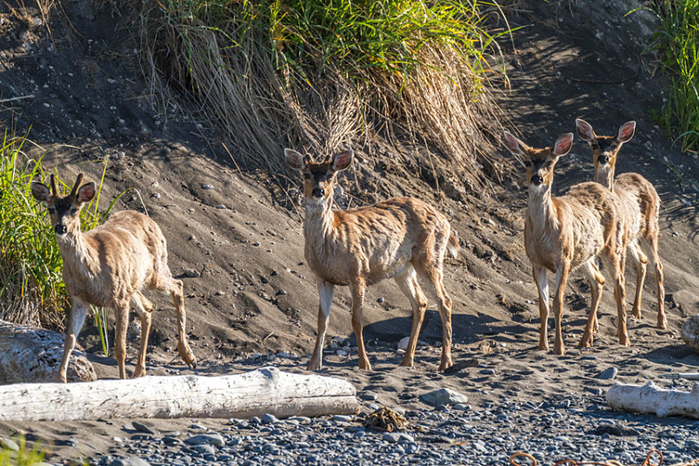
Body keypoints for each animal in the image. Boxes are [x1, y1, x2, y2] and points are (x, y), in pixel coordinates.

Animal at [30, 173, 197, 380]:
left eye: (74, 209)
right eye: (51, 208)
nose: (61, 227)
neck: (91, 270)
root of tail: (148, 219)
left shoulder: (120, 298)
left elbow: (120, 348)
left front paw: (122, 379)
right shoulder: (79, 298)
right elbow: (69, 340)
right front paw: (60, 379)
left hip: (154, 270)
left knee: (178, 285)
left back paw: (188, 356)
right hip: (132, 283)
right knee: (147, 308)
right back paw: (139, 371)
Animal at [284, 148, 460, 372]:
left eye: (330, 176)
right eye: (306, 174)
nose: (318, 191)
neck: (330, 239)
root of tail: (445, 220)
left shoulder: (357, 270)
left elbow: (356, 320)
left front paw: (364, 364)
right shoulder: (322, 277)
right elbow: (322, 321)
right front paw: (313, 365)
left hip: (430, 257)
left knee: (445, 301)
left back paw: (445, 362)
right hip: (403, 268)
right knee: (421, 302)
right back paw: (407, 361)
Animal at [506, 132, 632, 356]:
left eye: (549, 162)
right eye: (527, 162)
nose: (537, 178)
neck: (543, 235)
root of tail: (607, 190)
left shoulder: (563, 258)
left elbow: (558, 302)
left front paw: (559, 347)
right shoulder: (535, 262)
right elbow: (543, 306)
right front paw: (542, 346)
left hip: (611, 245)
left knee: (620, 283)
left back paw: (623, 339)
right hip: (584, 255)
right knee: (599, 281)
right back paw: (585, 340)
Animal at [576, 120, 668, 332]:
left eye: (614, 145)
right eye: (594, 144)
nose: (603, 157)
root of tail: (644, 180)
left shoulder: (617, 244)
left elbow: (620, 279)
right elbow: (595, 281)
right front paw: (594, 326)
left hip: (650, 228)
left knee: (658, 265)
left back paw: (661, 320)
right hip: (631, 237)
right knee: (642, 261)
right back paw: (636, 310)